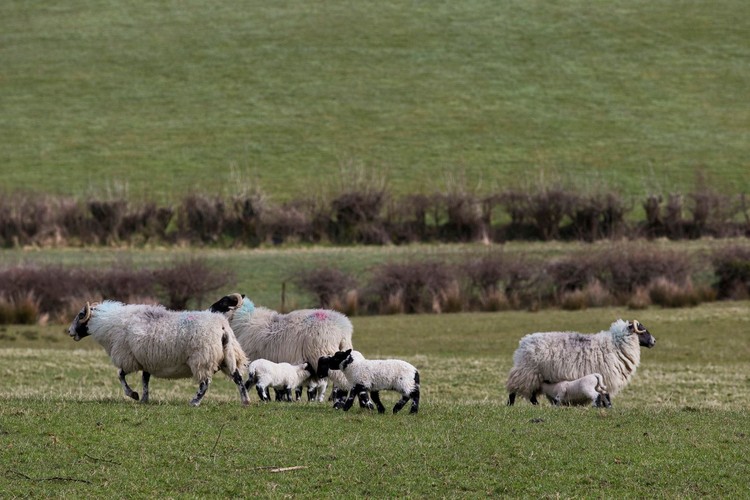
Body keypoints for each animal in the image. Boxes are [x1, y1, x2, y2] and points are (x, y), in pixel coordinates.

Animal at [67, 300, 250, 406]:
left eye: (81, 314)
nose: (69, 331)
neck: (109, 321)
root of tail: (222, 325)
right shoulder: (146, 361)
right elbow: (145, 380)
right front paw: (144, 399)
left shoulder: (128, 358)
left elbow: (120, 375)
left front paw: (132, 394)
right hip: (227, 357)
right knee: (238, 377)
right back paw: (245, 400)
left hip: (202, 358)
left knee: (205, 383)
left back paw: (194, 402)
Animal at [209, 292, 374, 410]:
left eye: (223, 302)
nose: (209, 309)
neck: (244, 321)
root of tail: (343, 329)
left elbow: (260, 385)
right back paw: (363, 405)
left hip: (326, 355)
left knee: (343, 381)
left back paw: (345, 404)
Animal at [506, 320, 656, 406]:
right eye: (643, 331)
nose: (654, 341)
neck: (616, 344)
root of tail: (524, 342)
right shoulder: (606, 377)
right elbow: (605, 396)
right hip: (527, 373)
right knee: (514, 391)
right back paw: (511, 406)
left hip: (535, 376)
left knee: (531, 395)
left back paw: (536, 406)